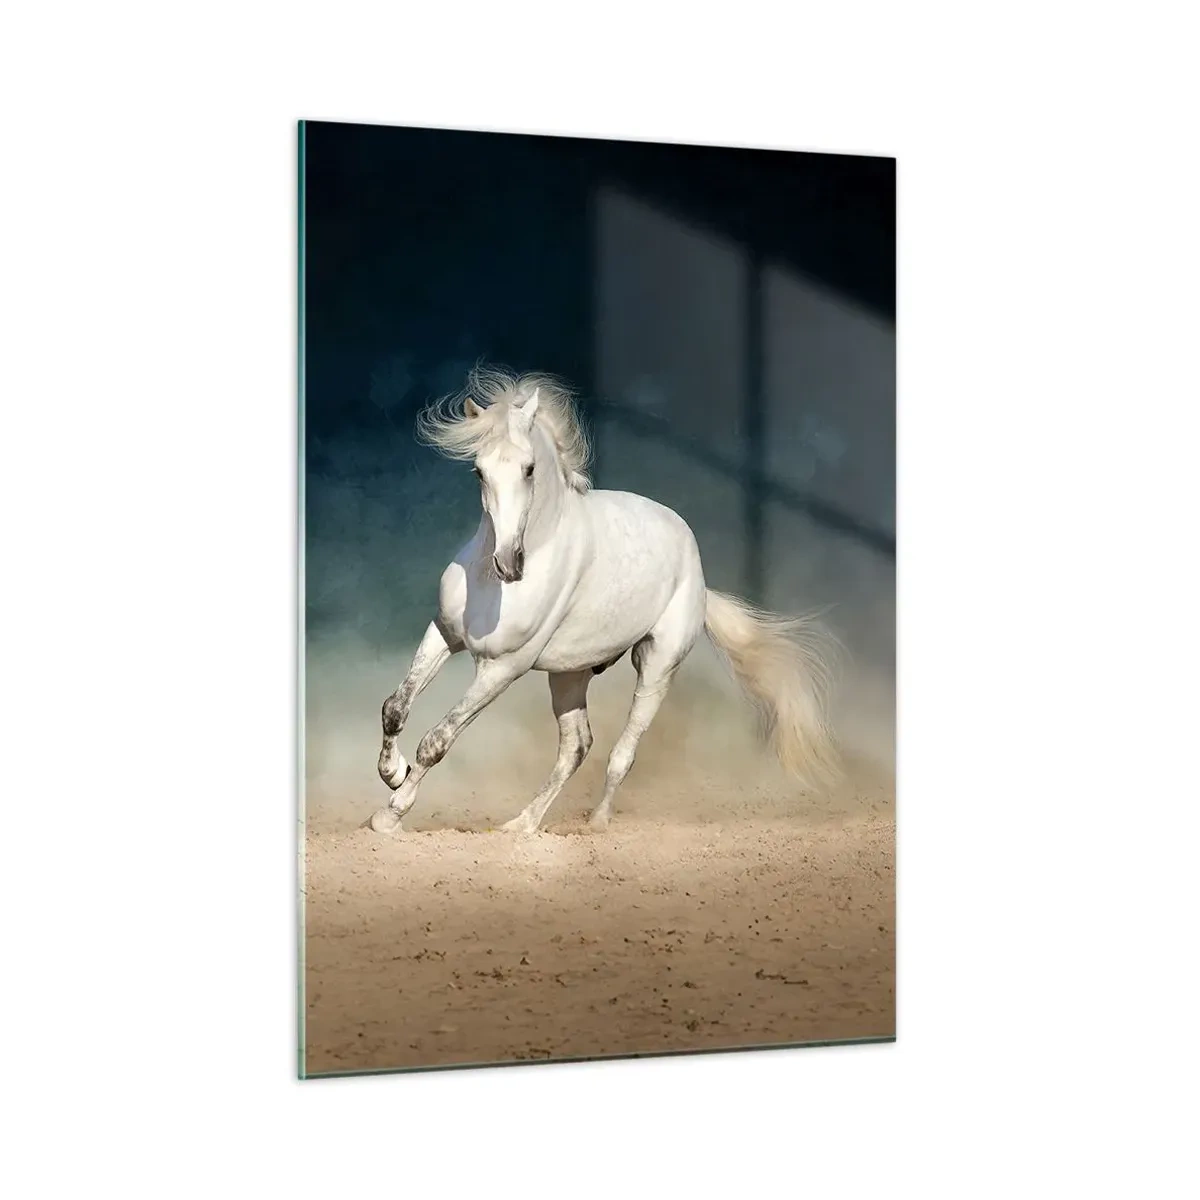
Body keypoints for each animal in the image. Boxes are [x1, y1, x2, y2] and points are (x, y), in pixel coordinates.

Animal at [370, 367, 839, 835]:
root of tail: (701, 578)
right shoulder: (444, 633)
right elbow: (395, 707)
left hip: (656, 667)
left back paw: (595, 823)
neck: (492, 583)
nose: (508, 563)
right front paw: (393, 774)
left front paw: (388, 815)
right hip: (569, 674)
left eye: (529, 469)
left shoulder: (502, 668)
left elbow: (437, 740)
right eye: (479, 472)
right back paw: (520, 826)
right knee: (576, 746)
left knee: (621, 752)